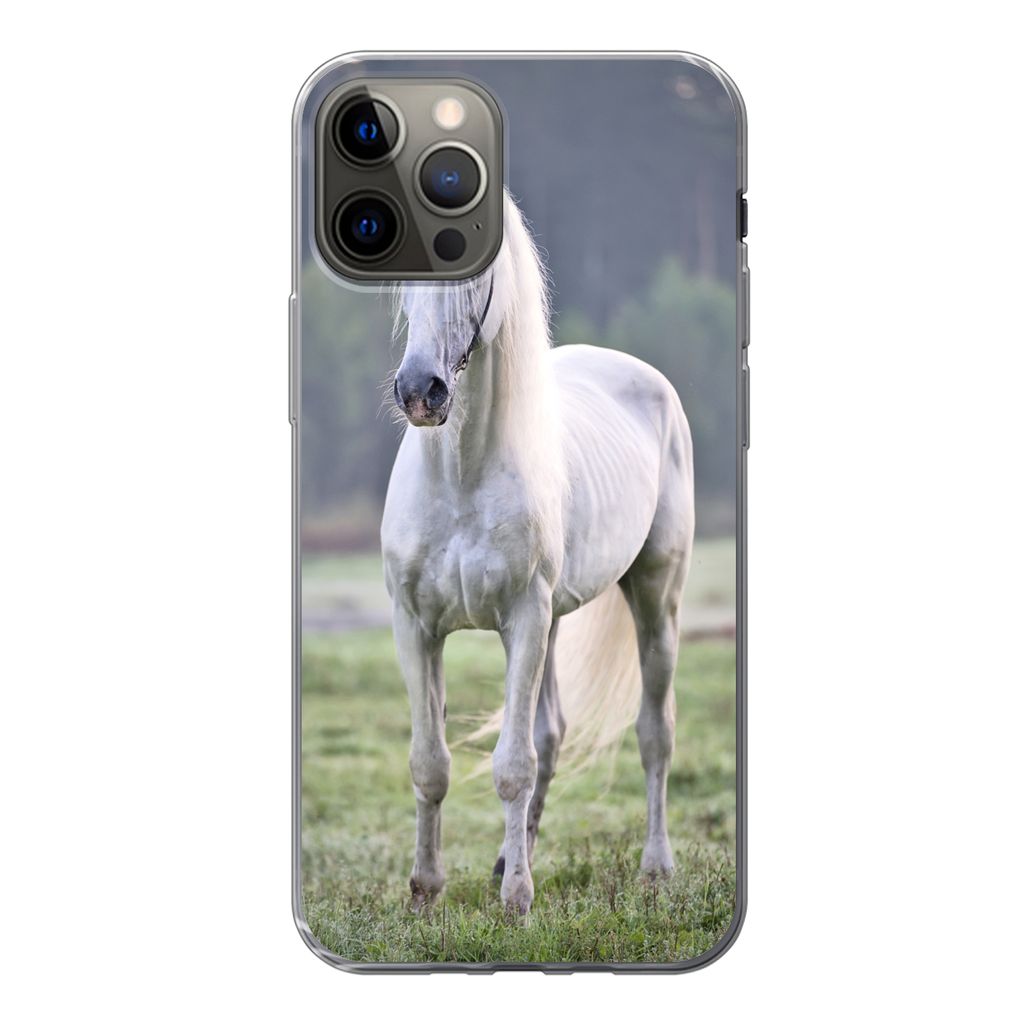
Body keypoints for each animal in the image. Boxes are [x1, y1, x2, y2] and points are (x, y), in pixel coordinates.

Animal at [381, 193, 695, 915]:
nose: (420, 392)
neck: (461, 477)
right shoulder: (417, 627)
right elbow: (430, 763)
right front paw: (425, 889)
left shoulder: (522, 619)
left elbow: (511, 766)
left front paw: (517, 901)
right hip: (553, 621)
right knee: (551, 734)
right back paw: (506, 858)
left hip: (653, 597)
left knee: (654, 732)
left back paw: (655, 868)